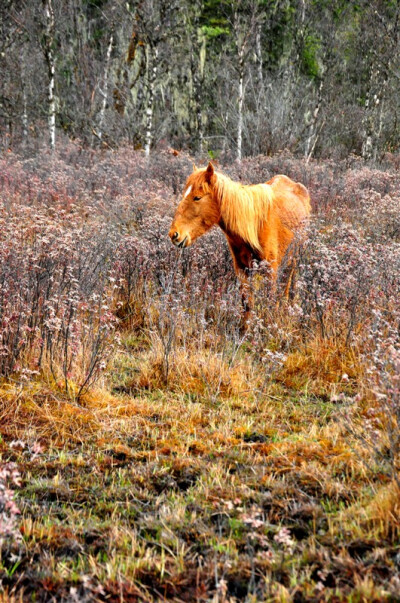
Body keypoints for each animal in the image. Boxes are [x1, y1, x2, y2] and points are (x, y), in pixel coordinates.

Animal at [167, 160, 310, 324]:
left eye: (197, 197)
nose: (174, 234)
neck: (255, 225)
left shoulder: (271, 270)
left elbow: (269, 301)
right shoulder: (242, 269)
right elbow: (246, 304)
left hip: (292, 261)